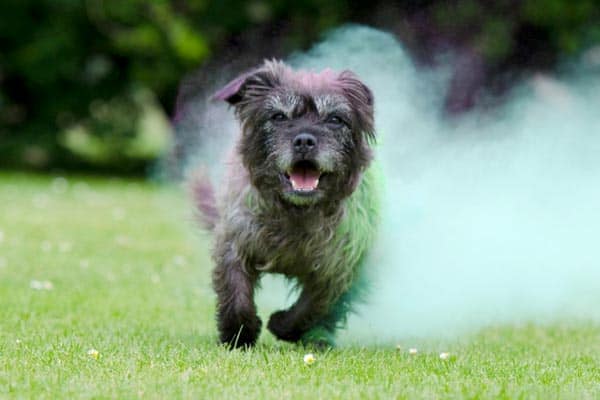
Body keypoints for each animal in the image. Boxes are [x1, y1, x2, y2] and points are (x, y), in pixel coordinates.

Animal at [192, 58, 380, 346]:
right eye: (279, 116)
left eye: (335, 118)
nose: (304, 140)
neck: (296, 212)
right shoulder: (235, 242)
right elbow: (236, 292)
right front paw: (239, 333)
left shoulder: (340, 265)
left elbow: (315, 305)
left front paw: (283, 325)